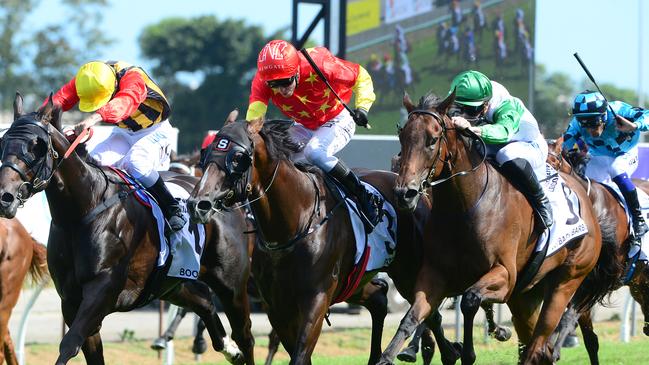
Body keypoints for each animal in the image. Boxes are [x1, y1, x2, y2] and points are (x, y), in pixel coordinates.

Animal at [187, 116, 460, 364]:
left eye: (237, 158)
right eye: (206, 153)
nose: (197, 203)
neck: (294, 224)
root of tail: (419, 193)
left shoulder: (316, 299)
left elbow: (299, 354)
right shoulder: (276, 306)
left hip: (409, 272)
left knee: (428, 308)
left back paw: (445, 351)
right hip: (355, 281)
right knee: (380, 298)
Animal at [384, 91, 604, 364]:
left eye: (432, 140)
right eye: (402, 137)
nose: (405, 193)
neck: (464, 207)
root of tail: (585, 196)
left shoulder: (505, 276)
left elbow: (470, 300)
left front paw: (471, 349)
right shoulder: (434, 276)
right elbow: (412, 316)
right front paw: (389, 355)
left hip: (566, 282)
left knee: (538, 346)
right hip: (525, 297)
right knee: (534, 345)